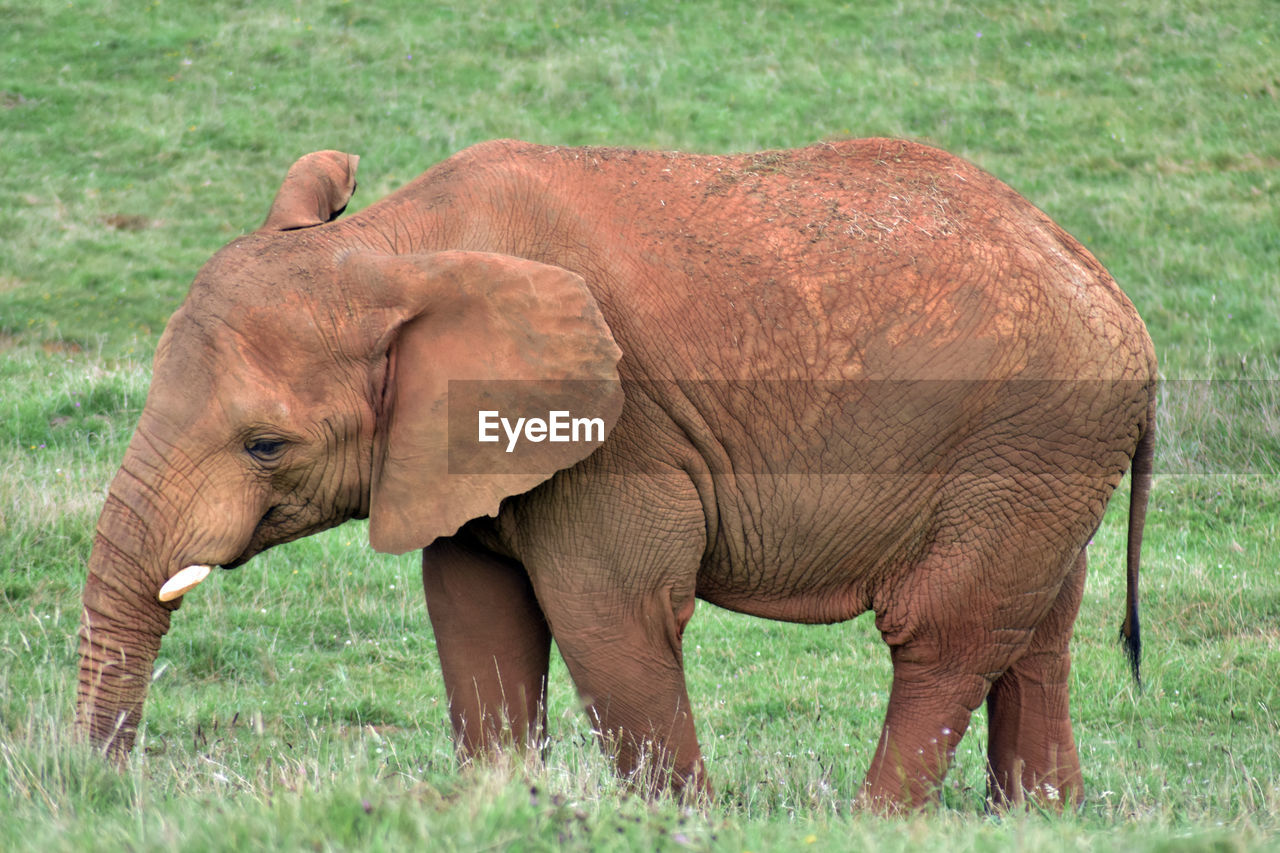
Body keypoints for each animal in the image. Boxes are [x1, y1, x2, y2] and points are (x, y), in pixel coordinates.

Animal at [74, 136, 1157, 809]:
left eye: (265, 445)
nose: (109, 788)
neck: (391, 243)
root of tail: (1115, 295)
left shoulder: (618, 434)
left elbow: (608, 614)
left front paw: (678, 821)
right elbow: (476, 613)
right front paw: (499, 806)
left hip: (1029, 436)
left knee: (943, 632)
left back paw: (873, 820)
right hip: (1044, 459)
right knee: (1037, 629)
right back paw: (1041, 817)